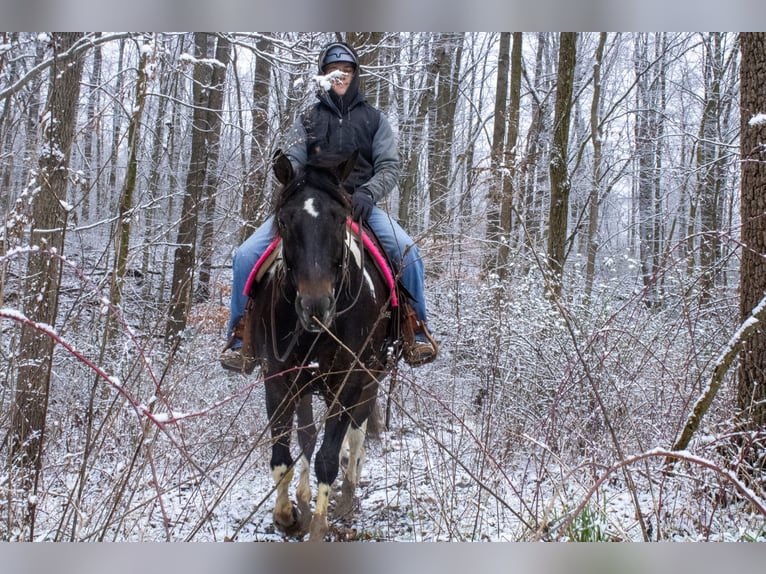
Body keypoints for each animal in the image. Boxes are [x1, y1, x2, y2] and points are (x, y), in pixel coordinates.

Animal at [246, 151, 400, 544]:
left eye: (340, 218)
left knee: (356, 433)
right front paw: (289, 515)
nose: (316, 307)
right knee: (308, 435)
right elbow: (283, 455)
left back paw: (347, 494)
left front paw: (318, 525)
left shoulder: (350, 377)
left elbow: (329, 456)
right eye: (284, 220)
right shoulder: (279, 375)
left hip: (370, 377)